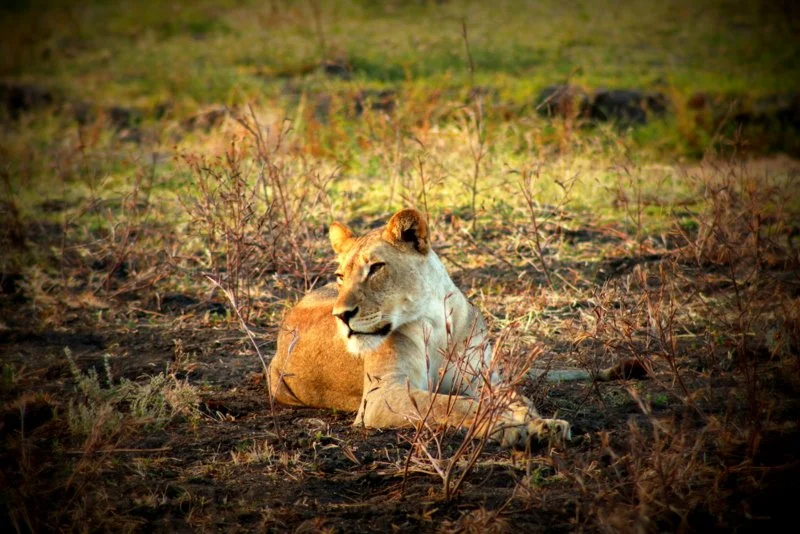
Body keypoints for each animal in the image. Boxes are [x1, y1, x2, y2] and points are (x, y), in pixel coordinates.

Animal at [268, 208, 572, 448]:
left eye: (376, 268)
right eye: (341, 276)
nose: (341, 316)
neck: (436, 323)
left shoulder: (482, 378)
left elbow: (516, 397)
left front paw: (543, 423)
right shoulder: (381, 396)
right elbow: (451, 404)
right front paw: (511, 427)